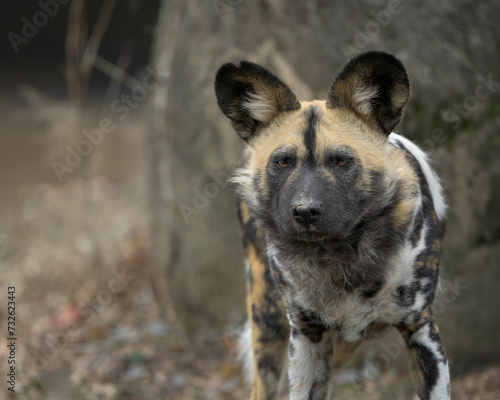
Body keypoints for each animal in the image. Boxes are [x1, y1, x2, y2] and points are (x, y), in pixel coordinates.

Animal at [213, 50, 452, 400]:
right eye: (282, 162)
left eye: (341, 161)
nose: (305, 211)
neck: (339, 257)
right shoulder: (305, 338)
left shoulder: (421, 333)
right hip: (270, 326)